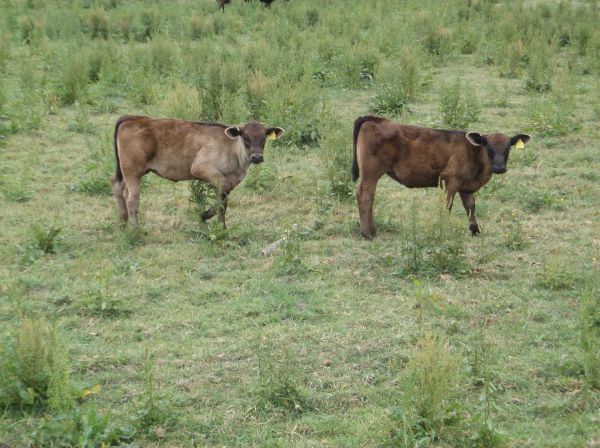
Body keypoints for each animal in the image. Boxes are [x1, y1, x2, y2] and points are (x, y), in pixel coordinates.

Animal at [111, 115, 284, 228]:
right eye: (245, 137)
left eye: (264, 138)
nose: (257, 157)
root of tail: (133, 118)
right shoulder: (201, 168)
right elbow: (221, 199)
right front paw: (204, 216)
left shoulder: (229, 181)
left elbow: (223, 201)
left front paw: (221, 227)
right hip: (132, 171)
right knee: (131, 198)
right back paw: (135, 230)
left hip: (124, 171)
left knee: (117, 186)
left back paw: (122, 223)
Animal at [352, 117, 528, 240]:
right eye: (489, 148)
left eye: (508, 149)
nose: (499, 168)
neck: (474, 154)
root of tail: (377, 119)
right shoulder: (450, 180)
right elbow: (447, 206)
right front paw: (442, 229)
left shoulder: (466, 186)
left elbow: (470, 207)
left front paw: (475, 231)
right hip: (371, 171)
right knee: (365, 195)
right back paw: (367, 234)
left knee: (370, 197)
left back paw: (372, 230)